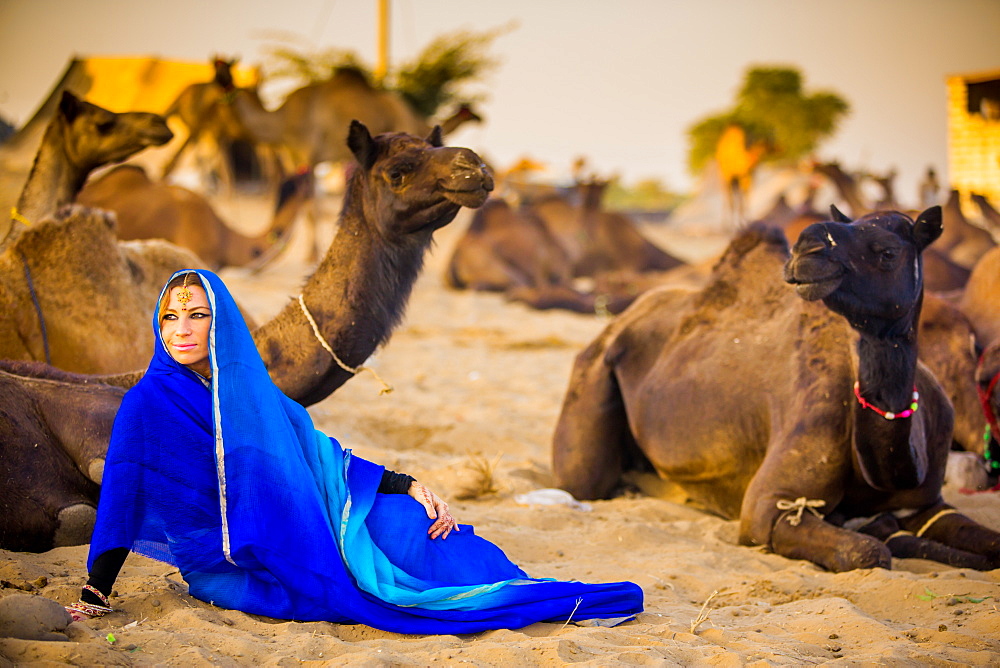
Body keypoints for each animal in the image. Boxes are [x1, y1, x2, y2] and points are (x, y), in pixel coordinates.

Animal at [552, 207, 996, 568]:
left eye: (887, 251)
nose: (808, 247)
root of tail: (619, 321)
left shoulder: (928, 504)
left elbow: (985, 542)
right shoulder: (767, 507)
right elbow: (869, 552)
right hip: (591, 384)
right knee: (585, 480)